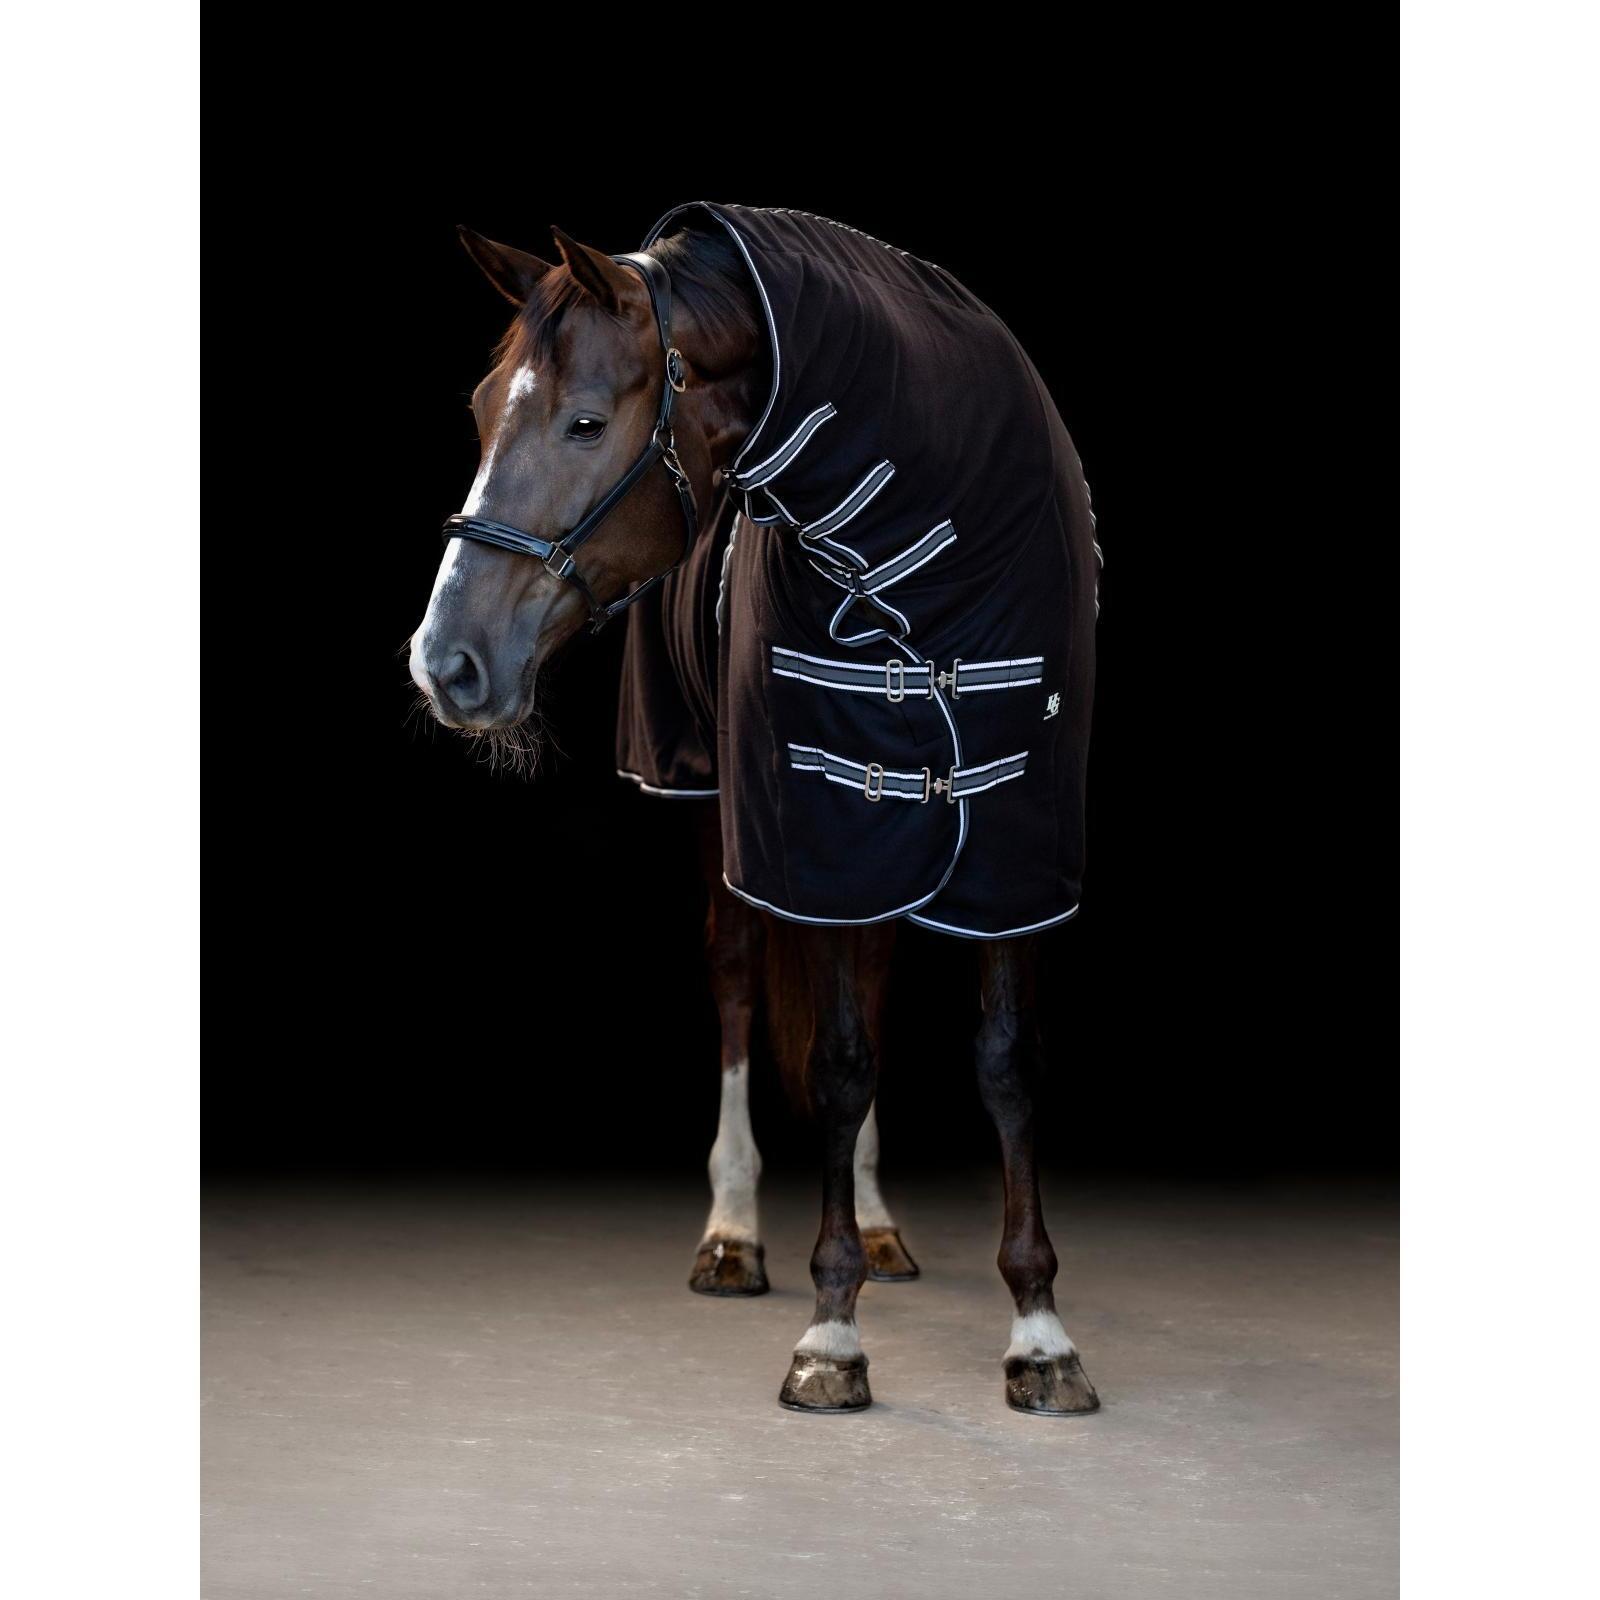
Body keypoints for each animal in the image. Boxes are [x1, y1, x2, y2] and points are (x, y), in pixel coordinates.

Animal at [408, 208, 1099, 1415]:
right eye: (484, 412)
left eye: (586, 422)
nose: (445, 662)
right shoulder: (806, 830)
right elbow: (834, 1060)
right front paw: (831, 1335)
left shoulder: (1011, 847)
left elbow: (1006, 1061)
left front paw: (1040, 1330)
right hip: (714, 797)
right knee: (736, 984)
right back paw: (732, 1233)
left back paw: (877, 1222)